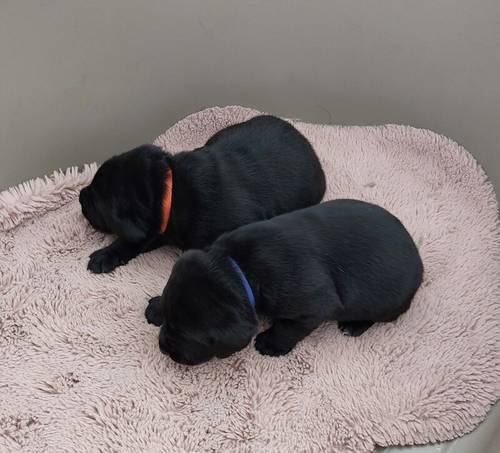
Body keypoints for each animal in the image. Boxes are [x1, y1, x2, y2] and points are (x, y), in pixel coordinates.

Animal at [80, 115, 326, 272]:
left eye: (95, 201)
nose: (81, 195)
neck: (170, 191)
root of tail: (302, 137)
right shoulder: (159, 227)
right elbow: (133, 240)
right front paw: (106, 255)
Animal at [146, 198, 424, 364]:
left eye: (186, 335)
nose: (162, 347)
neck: (236, 269)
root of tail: (419, 261)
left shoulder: (312, 307)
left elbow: (288, 328)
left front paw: (270, 343)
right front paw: (158, 305)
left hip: (386, 304)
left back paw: (354, 325)